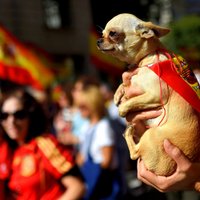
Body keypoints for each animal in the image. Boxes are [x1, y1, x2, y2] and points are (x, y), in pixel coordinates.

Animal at [97, 12, 200, 189]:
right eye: (103, 33)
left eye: (113, 34)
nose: (98, 40)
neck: (145, 59)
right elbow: (126, 82)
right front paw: (118, 94)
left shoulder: (154, 95)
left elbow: (131, 101)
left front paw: (122, 108)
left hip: (151, 135)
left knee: (134, 154)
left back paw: (129, 133)